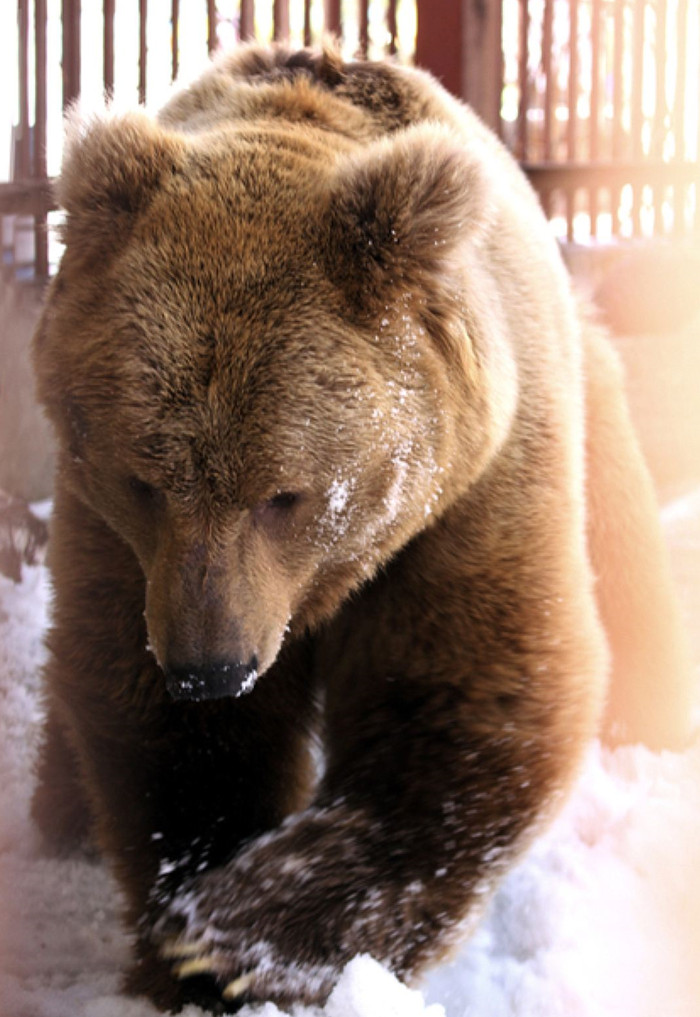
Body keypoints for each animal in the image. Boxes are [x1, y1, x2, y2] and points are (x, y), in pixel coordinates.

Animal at [30, 43, 691, 1012]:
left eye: (286, 493)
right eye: (145, 479)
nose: (210, 668)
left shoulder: (465, 496)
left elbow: (464, 692)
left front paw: (239, 934)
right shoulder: (121, 542)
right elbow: (149, 711)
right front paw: (189, 921)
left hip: (590, 423)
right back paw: (62, 821)